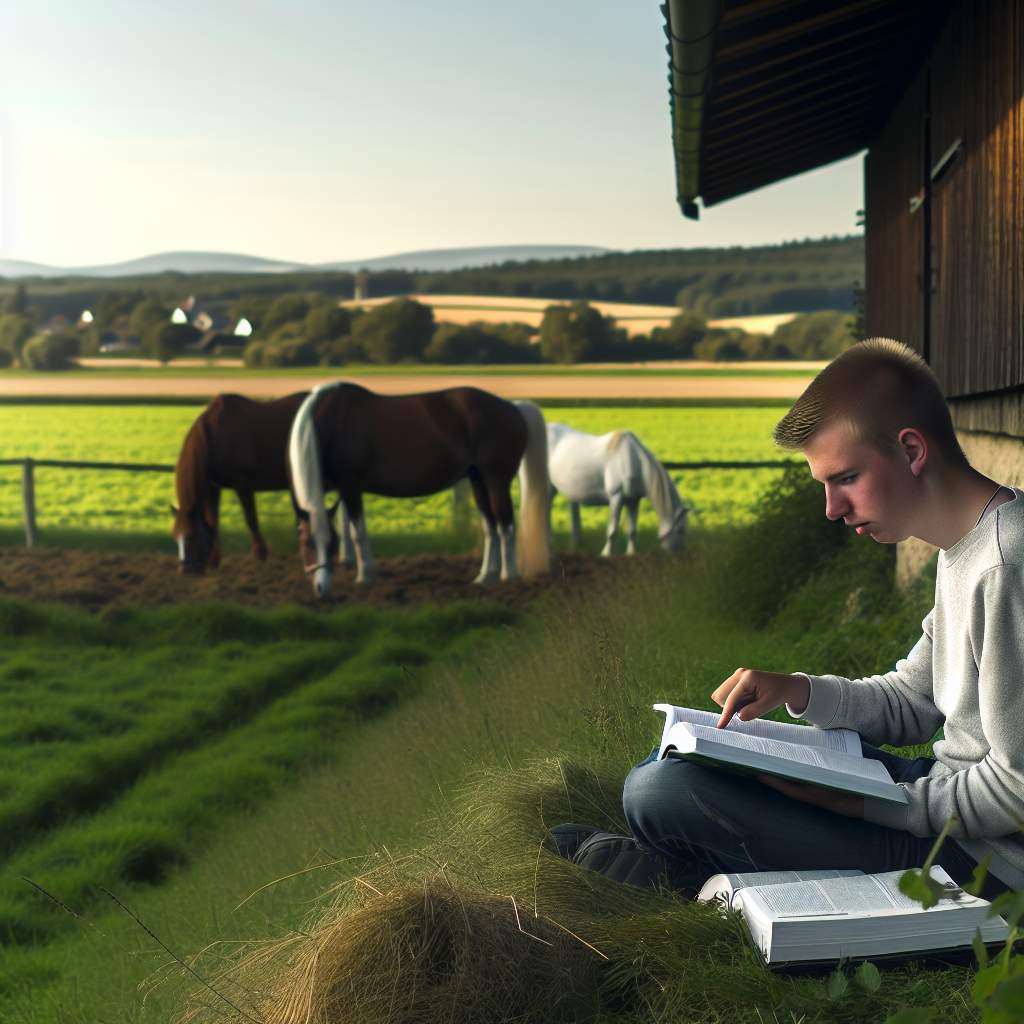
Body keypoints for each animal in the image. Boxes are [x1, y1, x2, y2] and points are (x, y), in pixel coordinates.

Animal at [171, 391, 311, 573]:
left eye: (191, 535)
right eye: (175, 536)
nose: (185, 570)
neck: (213, 436)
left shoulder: (243, 485)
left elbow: (250, 518)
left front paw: (260, 554)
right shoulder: (213, 487)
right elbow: (212, 520)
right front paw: (214, 561)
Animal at [286, 382, 552, 593]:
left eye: (330, 543)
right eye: (306, 543)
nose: (321, 588)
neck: (331, 423)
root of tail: (512, 407)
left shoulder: (350, 486)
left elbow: (357, 533)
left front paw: (365, 577)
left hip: (497, 481)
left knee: (506, 525)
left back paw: (510, 577)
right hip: (479, 482)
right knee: (491, 527)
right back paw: (485, 577)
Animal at [544, 419, 688, 557]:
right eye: (681, 530)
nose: (680, 554)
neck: (633, 460)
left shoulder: (633, 501)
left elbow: (632, 530)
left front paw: (631, 553)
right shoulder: (616, 497)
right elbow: (612, 530)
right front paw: (606, 553)